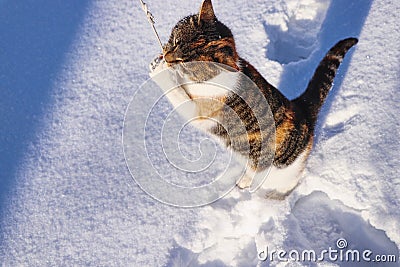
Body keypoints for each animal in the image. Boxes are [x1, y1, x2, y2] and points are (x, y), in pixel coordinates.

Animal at [148, 0, 358, 199]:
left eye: (184, 63)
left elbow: (178, 95)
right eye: (175, 41)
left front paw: (160, 71)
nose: (166, 56)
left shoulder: (201, 112)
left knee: (288, 180)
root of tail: (303, 108)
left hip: (282, 172)